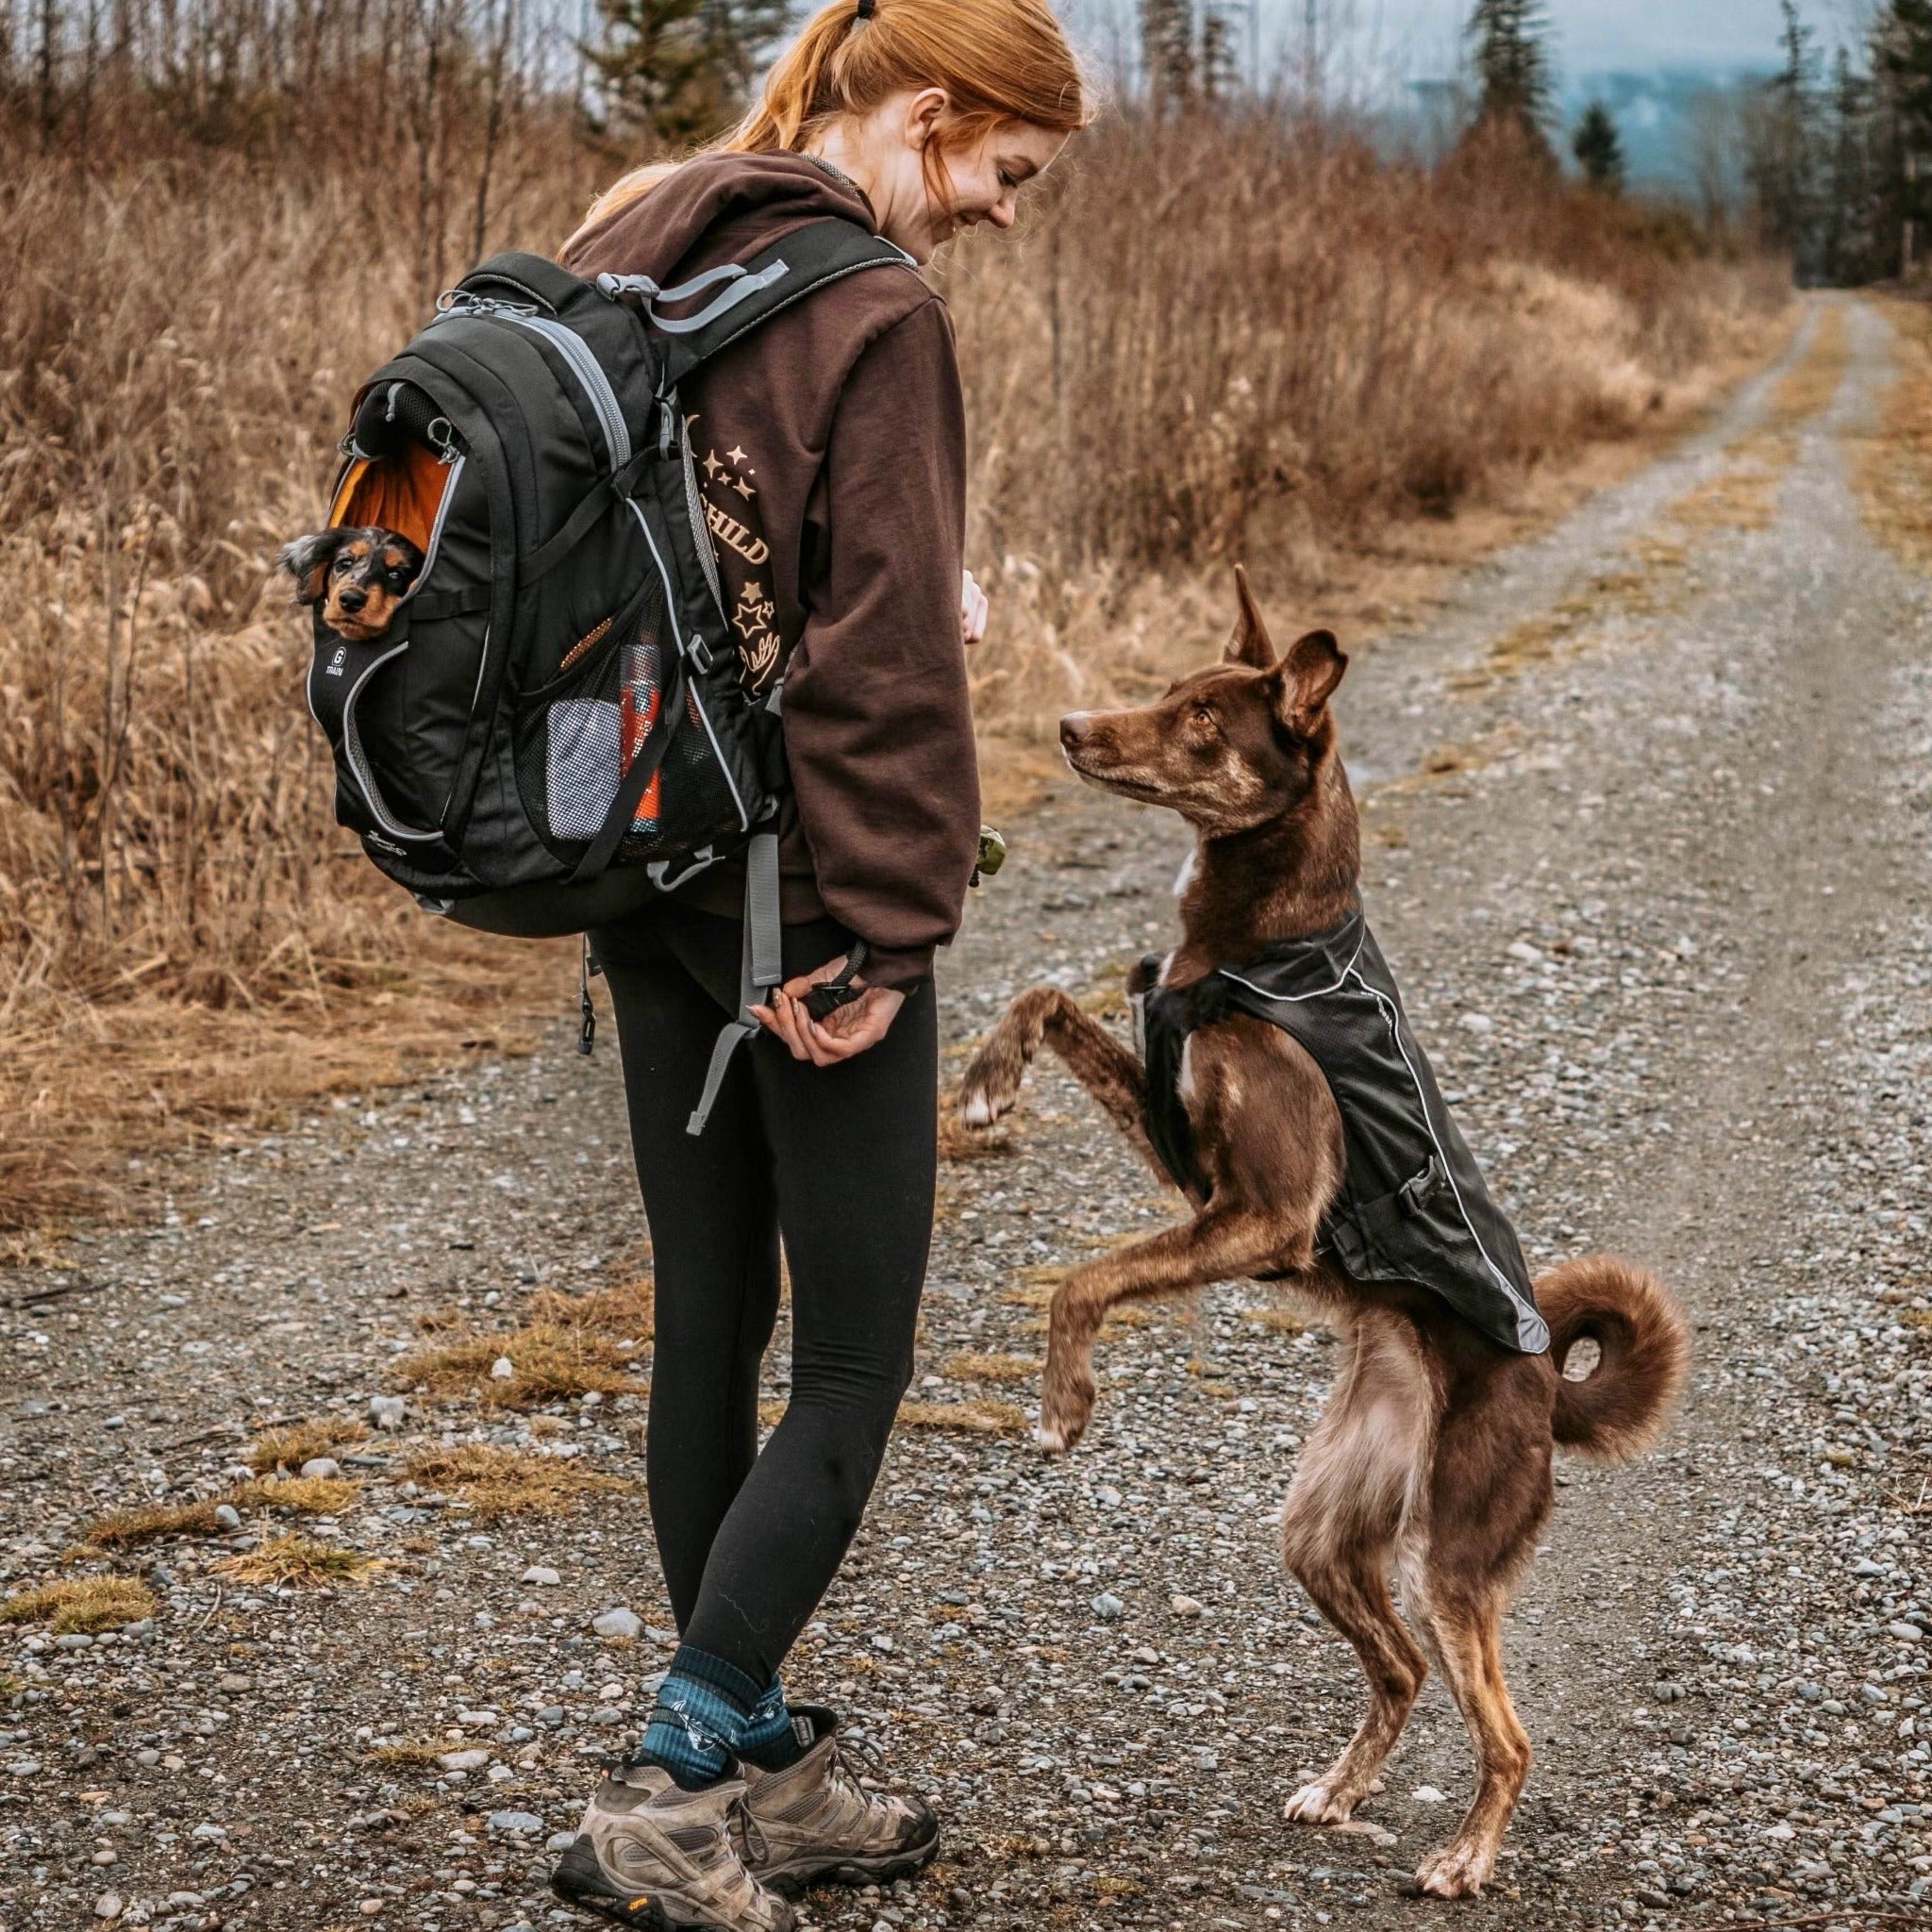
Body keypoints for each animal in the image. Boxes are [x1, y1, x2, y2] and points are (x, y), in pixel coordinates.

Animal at [958, 568, 1684, 1901]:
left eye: (1201, 715)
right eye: (1166, 690)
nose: (1071, 725)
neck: (1259, 939)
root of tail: (1541, 1386)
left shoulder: (1258, 1214)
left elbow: (1086, 1279)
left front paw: (1063, 1401)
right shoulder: (1182, 1153)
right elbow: (1044, 993)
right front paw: (986, 1077)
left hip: (1456, 1554)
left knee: (1503, 1727)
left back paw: (1463, 1854)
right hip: (1322, 1525)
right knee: (1396, 1665)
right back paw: (1339, 1789)